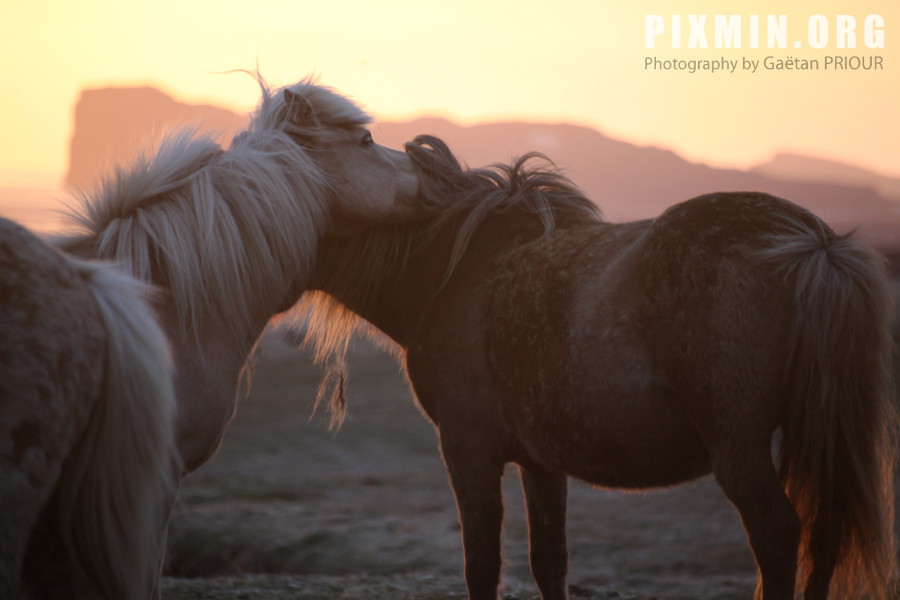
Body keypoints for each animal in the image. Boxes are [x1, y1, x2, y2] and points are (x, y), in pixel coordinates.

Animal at [302, 137, 900, 600]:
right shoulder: (540, 461)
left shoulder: (468, 449)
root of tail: (813, 242)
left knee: (777, 535)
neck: (449, 275)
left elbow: (482, 565)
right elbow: (549, 560)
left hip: (739, 445)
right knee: (825, 536)